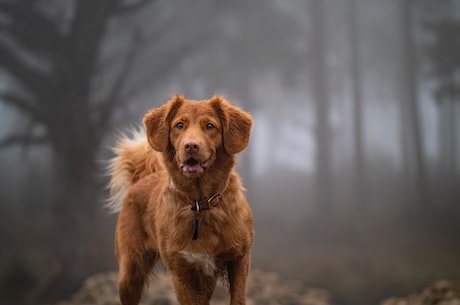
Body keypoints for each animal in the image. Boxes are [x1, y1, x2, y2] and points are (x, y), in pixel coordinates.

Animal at [107, 95, 255, 304]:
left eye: (210, 126)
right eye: (179, 125)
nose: (190, 145)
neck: (201, 203)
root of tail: (144, 178)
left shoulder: (239, 259)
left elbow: (238, 298)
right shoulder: (182, 271)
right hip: (130, 273)